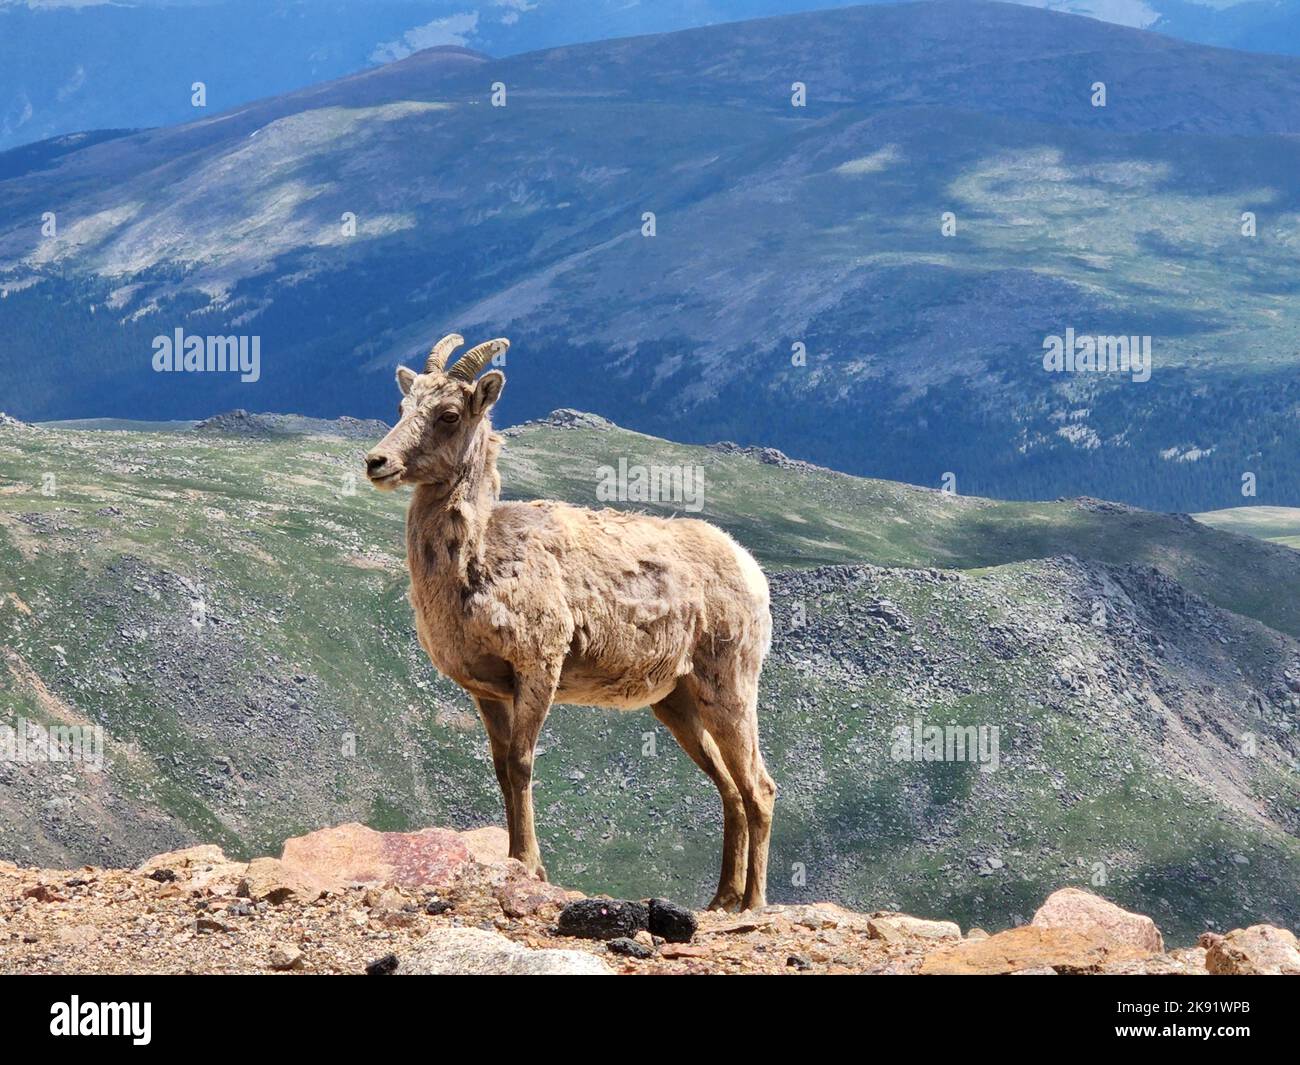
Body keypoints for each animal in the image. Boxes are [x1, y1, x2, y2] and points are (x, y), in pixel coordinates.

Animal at [361, 332, 774, 910]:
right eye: (402, 407)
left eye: (448, 414)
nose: (378, 463)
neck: (482, 563)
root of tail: (749, 568)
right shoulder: (486, 691)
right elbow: (500, 768)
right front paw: (516, 858)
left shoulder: (539, 668)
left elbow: (521, 764)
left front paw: (529, 863)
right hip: (677, 702)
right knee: (730, 789)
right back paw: (719, 901)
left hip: (728, 686)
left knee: (759, 787)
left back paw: (753, 903)